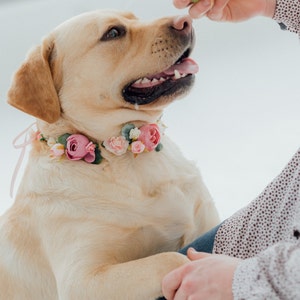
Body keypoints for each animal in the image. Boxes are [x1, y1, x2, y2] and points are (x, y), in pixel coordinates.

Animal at [2, 9, 218, 300]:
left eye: (134, 18)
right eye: (113, 33)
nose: (185, 21)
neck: (127, 155)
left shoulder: (206, 221)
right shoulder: (81, 281)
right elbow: (173, 259)